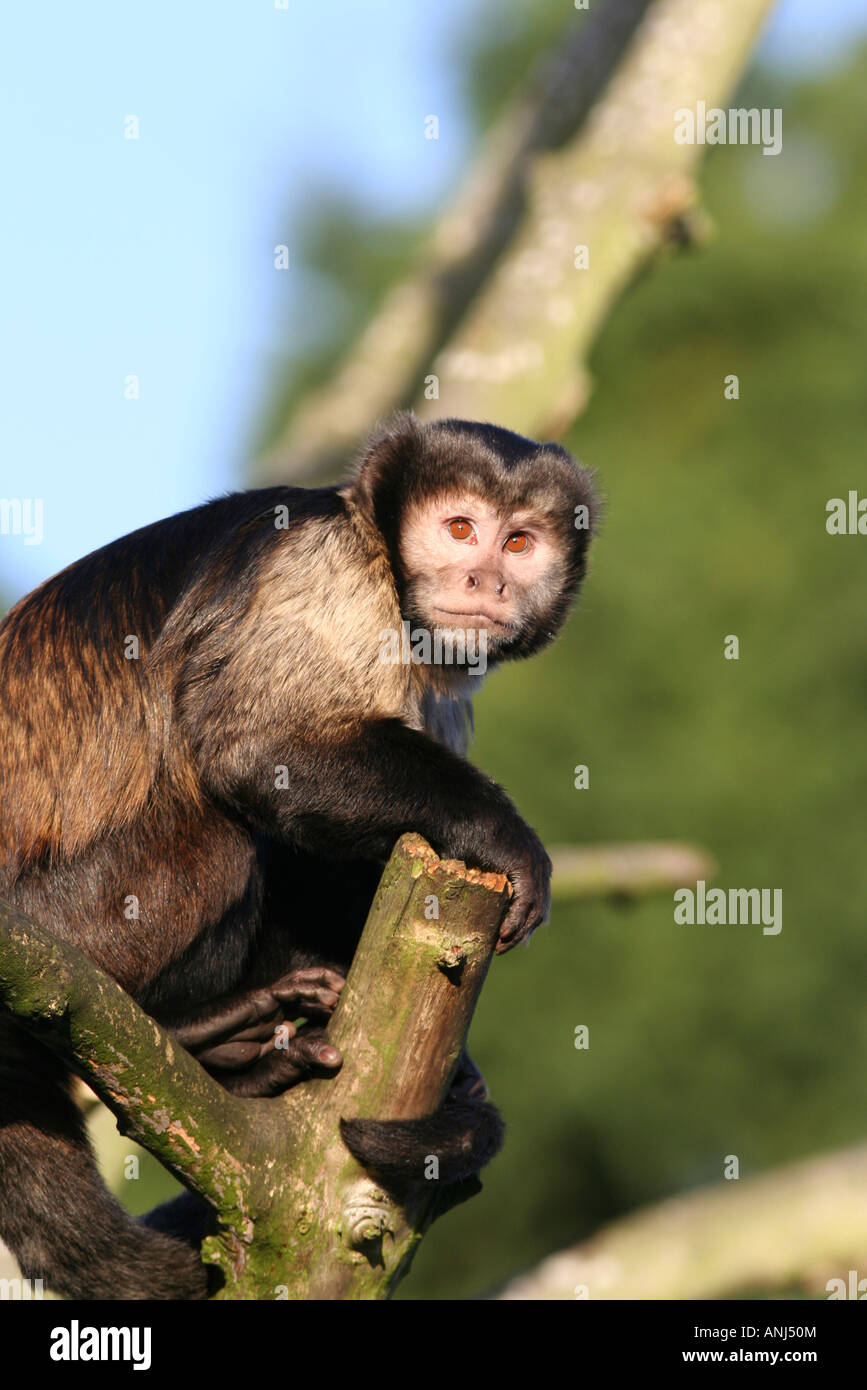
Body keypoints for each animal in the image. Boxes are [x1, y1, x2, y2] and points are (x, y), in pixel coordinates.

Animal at [0, 413, 597, 1299]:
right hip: (65, 922)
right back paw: (197, 1029)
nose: (485, 579)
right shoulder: (324, 565)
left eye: (520, 542)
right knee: (226, 830)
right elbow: (259, 749)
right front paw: (506, 839)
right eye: (461, 529)